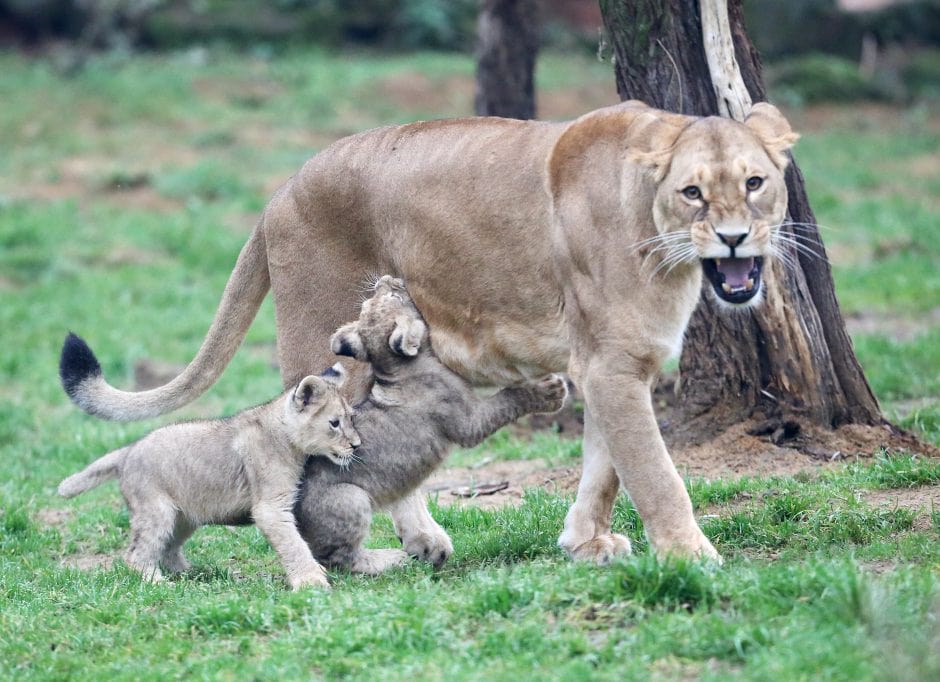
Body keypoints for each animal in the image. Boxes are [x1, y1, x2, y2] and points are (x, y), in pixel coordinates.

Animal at [66, 98, 796, 560]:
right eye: (693, 192)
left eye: (756, 183)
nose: (734, 239)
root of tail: (279, 192)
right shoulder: (612, 368)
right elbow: (654, 473)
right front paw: (690, 558)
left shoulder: (611, 365)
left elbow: (605, 466)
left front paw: (585, 544)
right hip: (325, 353)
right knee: (339, 443)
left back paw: (422, 543)